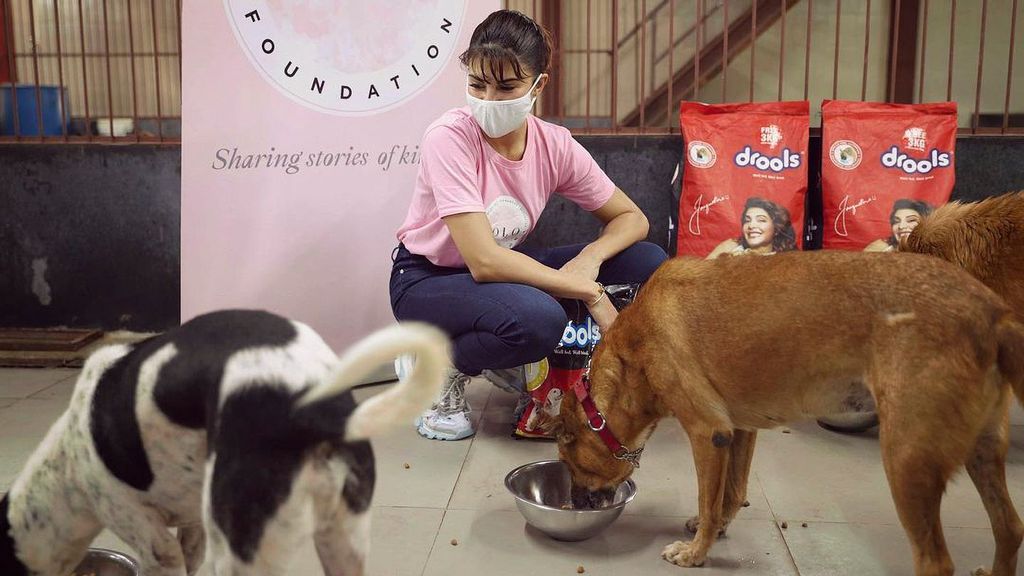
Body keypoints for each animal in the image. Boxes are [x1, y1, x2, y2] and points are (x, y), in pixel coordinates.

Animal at [1, 309, 448, 573]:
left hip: (240, 554)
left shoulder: (152, 544)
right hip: (343, 540)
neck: (64, 468)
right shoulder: (193, 532)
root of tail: (309, 410)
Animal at [552, 251, 1024, 573]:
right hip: (982, 453)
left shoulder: (708, 432)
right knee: (1010, 528)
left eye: (570, 463)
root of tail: (994, 314)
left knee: (936, 561)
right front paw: (715, 529)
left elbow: (710, 499)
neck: (632, 353)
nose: (576, 505)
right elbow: (730, 494)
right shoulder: (738, 431)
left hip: (907, 464)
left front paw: (696, 553)